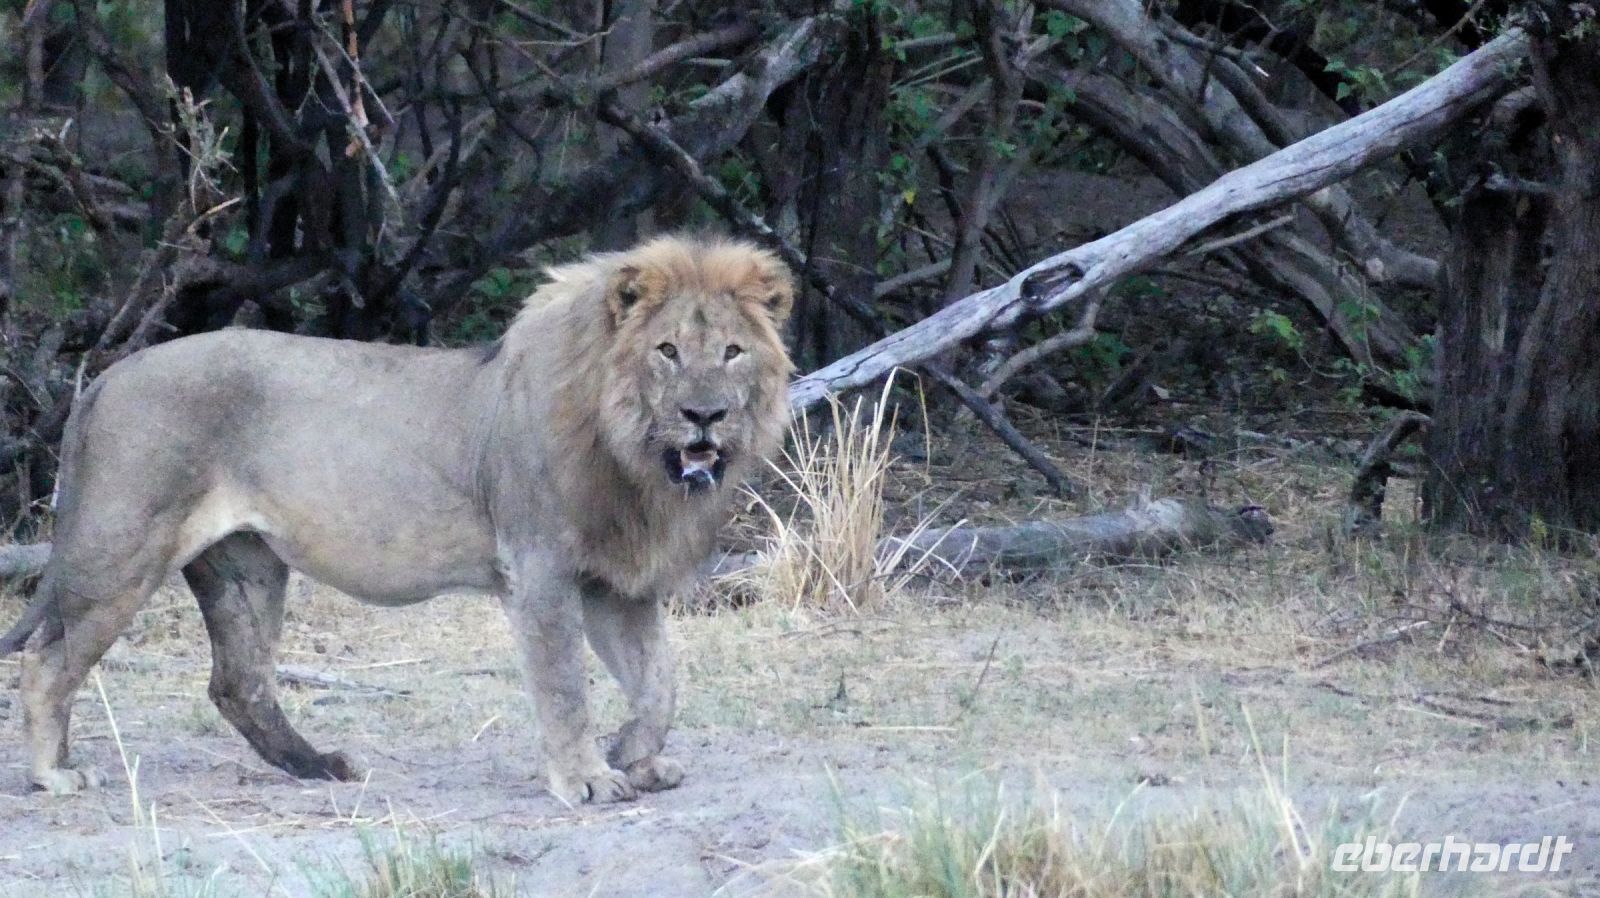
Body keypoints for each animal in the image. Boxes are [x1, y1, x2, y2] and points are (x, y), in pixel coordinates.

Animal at [0, 235, 795, 804]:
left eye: (731, 351)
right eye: (667, 351)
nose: (704, 415)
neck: (635, 456)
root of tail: (108, 376)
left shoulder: (616, 582)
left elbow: (661, 682)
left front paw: (636, 755)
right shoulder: (540, 569)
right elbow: (566, 685)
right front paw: (590, 778)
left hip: (245, 563)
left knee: (237, 683)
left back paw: (320, 766)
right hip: (124, 550)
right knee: (47, 662)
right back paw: (54, 773)